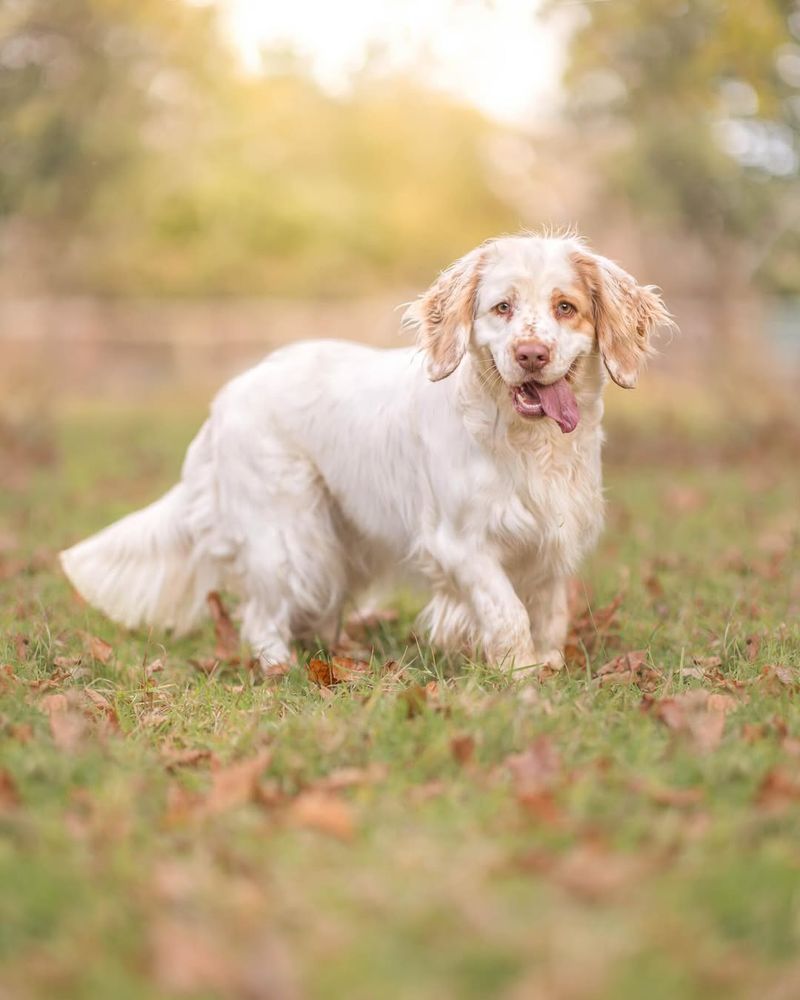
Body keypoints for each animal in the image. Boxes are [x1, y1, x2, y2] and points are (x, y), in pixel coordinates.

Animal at [62, 233, 672, 672]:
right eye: (502, 307)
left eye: (565, 307)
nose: (531, 354)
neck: (526, 442)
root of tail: (224, 399)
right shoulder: (461, 545)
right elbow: (508, 614)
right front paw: (519, 680)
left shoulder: (550, 542)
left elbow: (547, 615)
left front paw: (545, 668)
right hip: (291, 535)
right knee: (263, 615)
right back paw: (282, 670)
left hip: (340, 537)